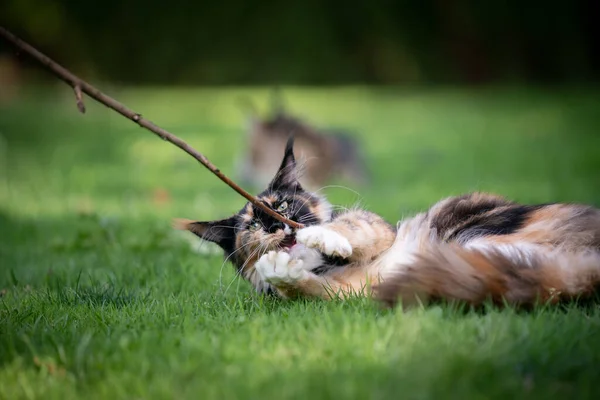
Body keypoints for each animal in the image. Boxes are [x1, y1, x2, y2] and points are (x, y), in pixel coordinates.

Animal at [176, 136, 600, 308]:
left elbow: (351, 228)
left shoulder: (378, 229)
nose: (275, 226)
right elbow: (304, 288)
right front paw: (279, 270)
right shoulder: (353, 291)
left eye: (280, 204)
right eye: (250, 226)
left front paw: (324, 237)